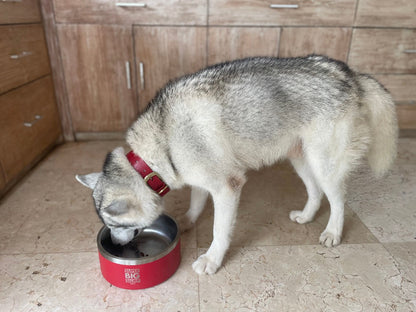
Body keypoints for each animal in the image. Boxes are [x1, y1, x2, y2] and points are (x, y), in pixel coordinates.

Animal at [76, 55, 398, 272]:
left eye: (114, 224)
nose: (117, 245)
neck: (159, 146)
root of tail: (349, 73)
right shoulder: (201, 179)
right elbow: (196, 202)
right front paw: (188, 221)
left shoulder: (227, 188)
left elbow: (219, 231)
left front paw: (212, 259)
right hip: (300, 159)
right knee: (316, 192)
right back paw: (307, 216)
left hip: (324, 164)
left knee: (339, 199)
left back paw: (333, 232)